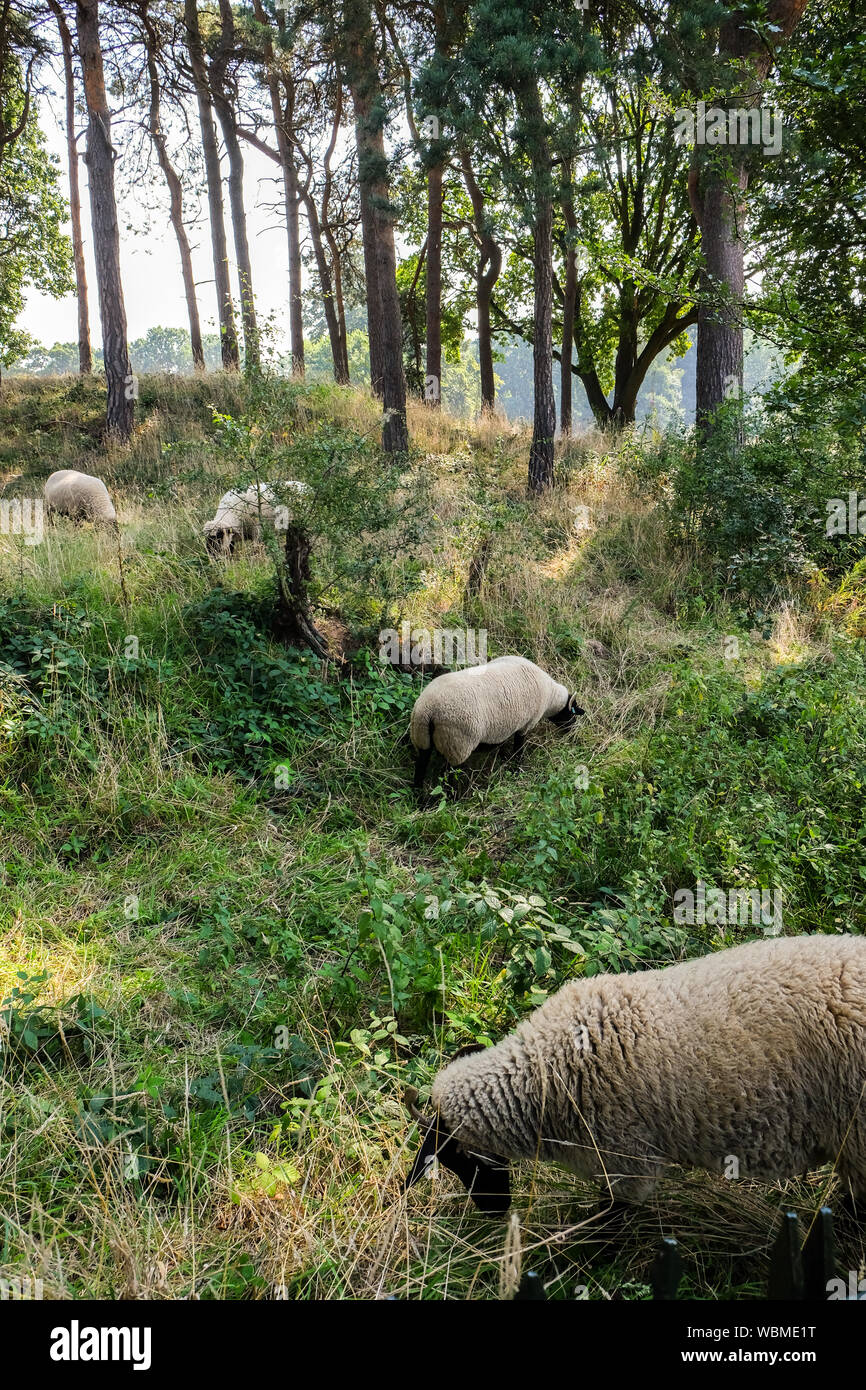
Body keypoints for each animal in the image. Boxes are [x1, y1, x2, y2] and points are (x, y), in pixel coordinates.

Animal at [404, 934, 866, 1214]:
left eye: (457, 1159)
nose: (494, 1212)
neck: (543, 1073)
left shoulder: (624, 1161)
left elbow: (609, 1219)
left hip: (858, 1130)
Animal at [409, 654, 584, 791]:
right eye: (572, 712)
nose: (572, 730)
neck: (551, 697)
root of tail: (428, 709)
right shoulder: (525, 725)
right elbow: (518, 748)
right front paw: (517, 768)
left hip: (421, 737)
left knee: (420, 767)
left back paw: (419, 799)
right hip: (457, 744)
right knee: (449, 775)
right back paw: (453, 797)